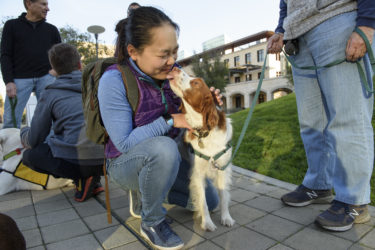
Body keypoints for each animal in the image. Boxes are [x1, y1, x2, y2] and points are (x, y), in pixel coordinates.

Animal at [167, 67, 235, 230]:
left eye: (196, 82)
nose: (175, 67)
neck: (205, 132)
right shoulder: (197, 174)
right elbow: (203, 201)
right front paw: (207, 223)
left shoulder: (223, 168)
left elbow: (224, 195)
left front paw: (226, 217)